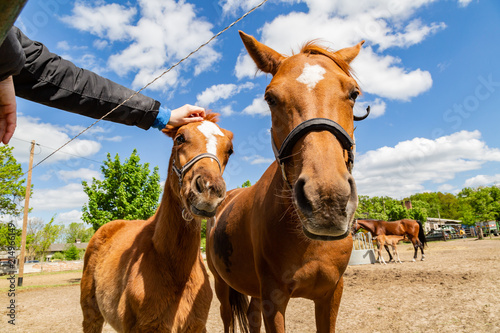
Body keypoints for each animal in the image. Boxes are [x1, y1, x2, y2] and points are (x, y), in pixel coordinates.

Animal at [79, 115, 232, 332]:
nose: (210, 189)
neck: (176, 271)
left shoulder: (196, 326)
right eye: (180, 138)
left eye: (230, 149)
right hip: (91, 314)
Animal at [205, 31, 370, 332]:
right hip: (222, 285)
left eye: (353, 93)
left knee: (252, 316)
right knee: (228, 318)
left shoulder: (331, 294)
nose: (326, 200)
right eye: (270, 98)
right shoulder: (274, 299)